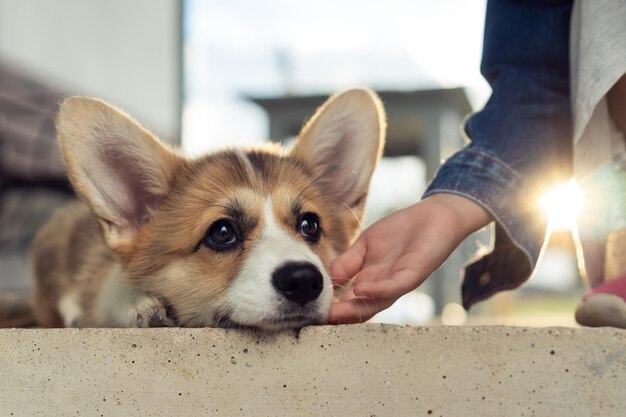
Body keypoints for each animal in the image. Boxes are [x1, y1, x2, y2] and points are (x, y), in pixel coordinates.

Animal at [17, 89, 382, 330]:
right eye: (221, 232)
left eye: (310, 225)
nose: (304, 280)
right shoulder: (105, 279)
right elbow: (112, 294)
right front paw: (139, 305)